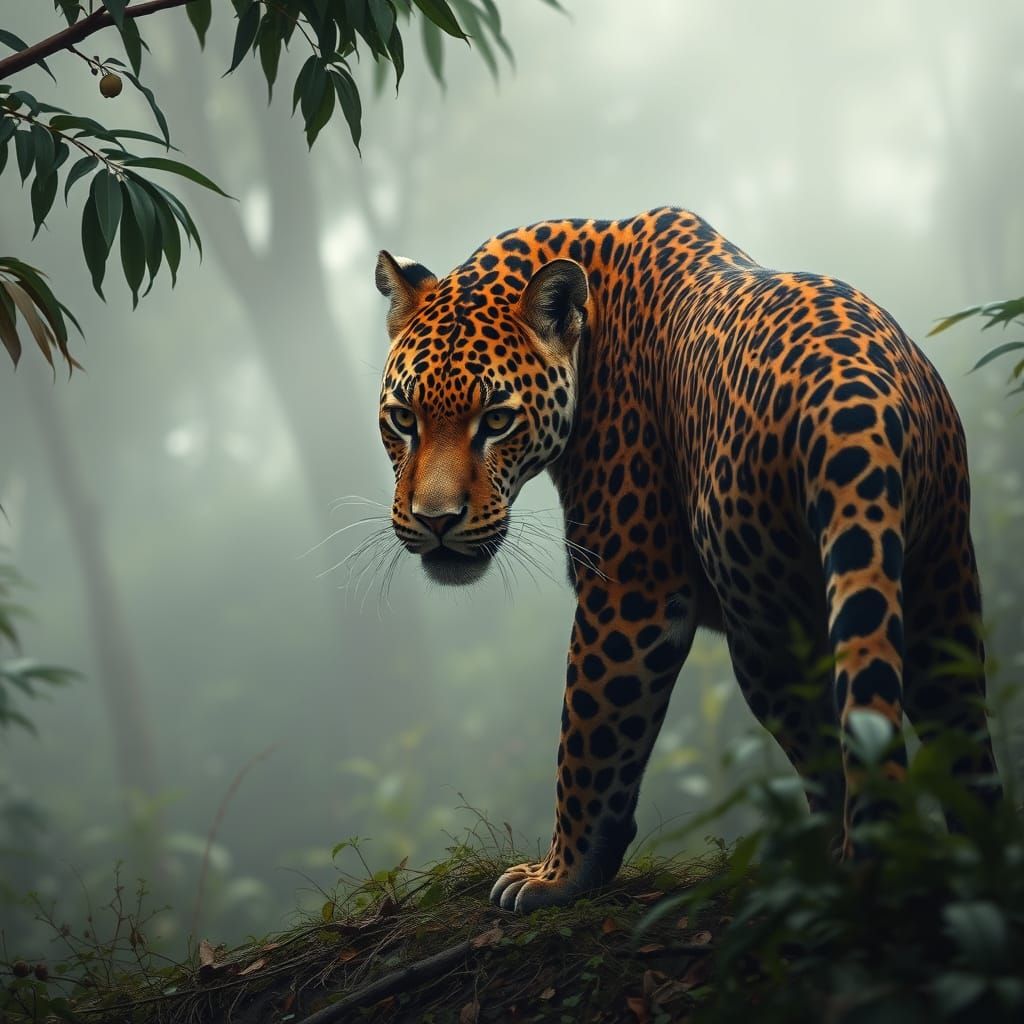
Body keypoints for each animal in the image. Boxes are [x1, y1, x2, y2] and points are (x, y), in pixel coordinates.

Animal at [373, 207, 1001, 913]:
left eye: (497, 420)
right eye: (402, 418)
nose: (436, 522)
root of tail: (856, 393)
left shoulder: (629, 591)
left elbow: (589, 739)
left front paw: (557, 877)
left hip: (771, 632)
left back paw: (828, 866)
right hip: (942, 585)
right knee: (963, 744)